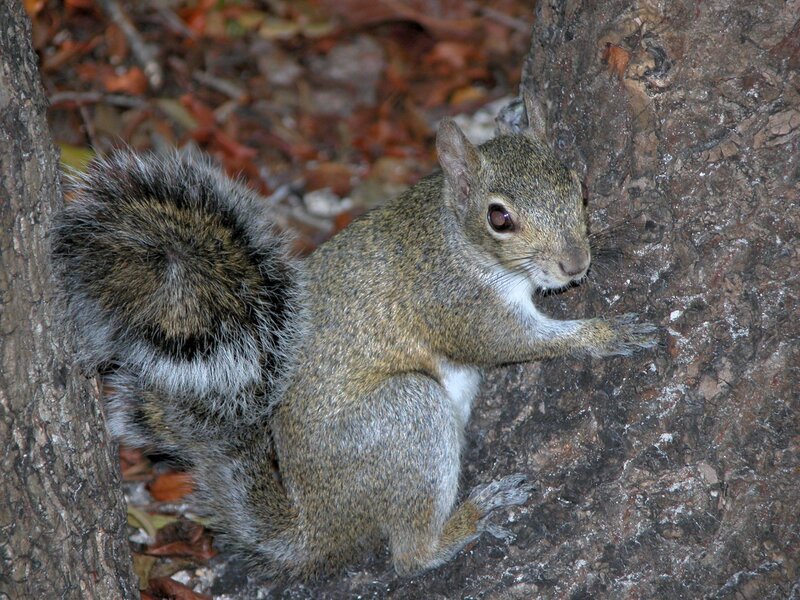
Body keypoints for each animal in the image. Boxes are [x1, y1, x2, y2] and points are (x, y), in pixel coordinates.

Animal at [51, 92, 657, 579]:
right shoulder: (455, 304)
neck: (452, 234)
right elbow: (509, 344)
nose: (576, 266)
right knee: (409, 554)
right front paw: (607, 333)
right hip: (405, 420)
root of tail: (320, 526)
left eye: (578, 186)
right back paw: (473, 517)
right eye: (499, 218)